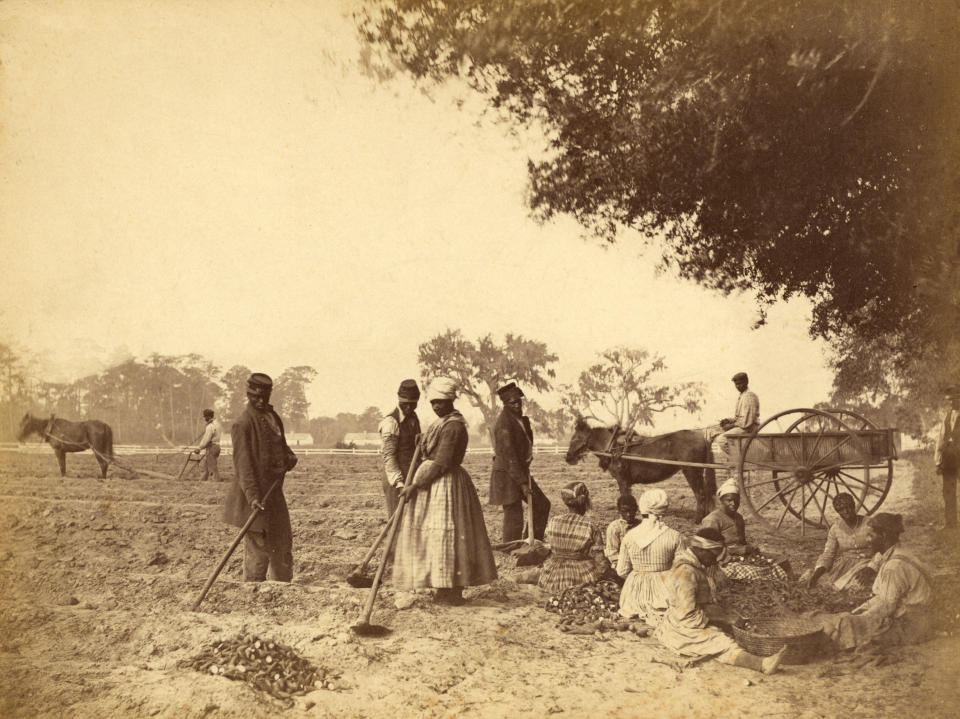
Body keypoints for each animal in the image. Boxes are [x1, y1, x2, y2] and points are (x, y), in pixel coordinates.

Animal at [568, 416, 716, 524]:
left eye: (576, 438)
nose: (567, 457)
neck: (613, 447)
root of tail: (703, 437)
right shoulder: (626, 482)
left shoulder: (622, 480)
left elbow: (624, 497)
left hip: (691, 471)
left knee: (701, 495)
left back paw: (698, 520)